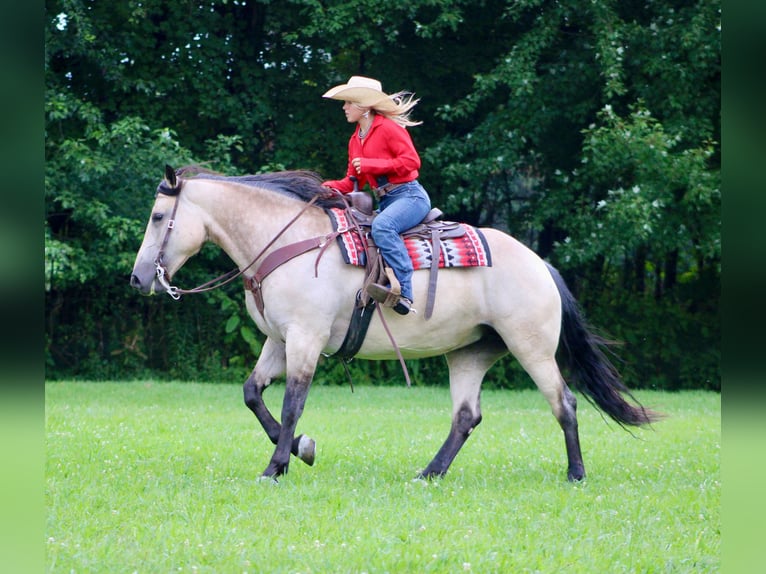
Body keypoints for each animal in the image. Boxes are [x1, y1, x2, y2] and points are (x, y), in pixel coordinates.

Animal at [132, 165, 660, 482]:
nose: (138, 278)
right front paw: (302, 449)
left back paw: (575, 474)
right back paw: (430, 473)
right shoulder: (278, 341)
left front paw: (277, 465)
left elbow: (291, 403)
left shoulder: (305, 339)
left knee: (564, 402)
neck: (288, 243)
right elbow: (252, 394)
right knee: (466, 416)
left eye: (158, 216)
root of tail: (540, 264)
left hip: (531, 347)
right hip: (470, 352)